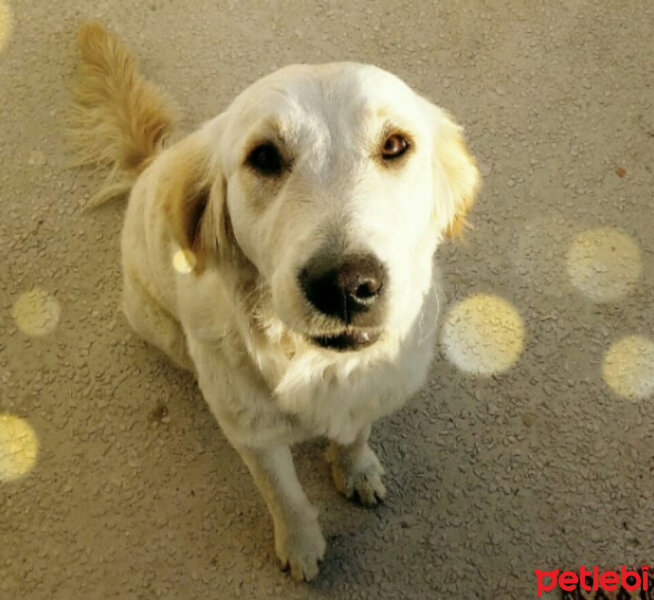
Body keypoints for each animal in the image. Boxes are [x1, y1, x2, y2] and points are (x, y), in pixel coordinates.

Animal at [73, 23, 482, 580]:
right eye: (264, 156)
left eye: (395, 144)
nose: (346, 285)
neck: (316, 363)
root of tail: (153, 161)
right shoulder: (254, 435)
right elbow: (283, 495)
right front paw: (301, 546)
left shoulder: (371, 388)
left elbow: (355, 433)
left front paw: (355, 468)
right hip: (156, 325)